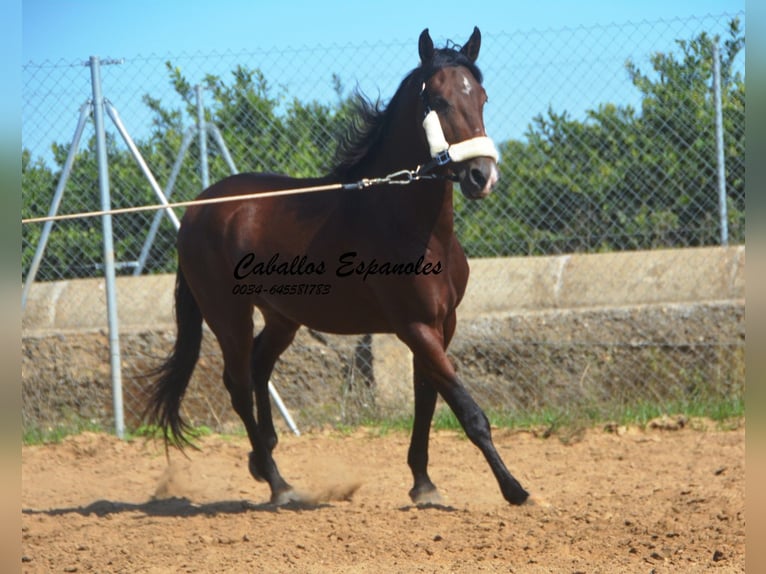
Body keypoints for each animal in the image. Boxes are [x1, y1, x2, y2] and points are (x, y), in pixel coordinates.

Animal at [150, 27, 536, 506]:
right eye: (439, 101)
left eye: (482, 97)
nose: (482, 176)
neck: (413, 228)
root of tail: (197, 210)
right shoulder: (414, 326)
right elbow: (468, 410)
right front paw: (514, 489)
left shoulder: (441, 324)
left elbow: (427, 398)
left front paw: (423, 484)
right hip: (228, 315)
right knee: (238, 383)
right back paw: (279, 485)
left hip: (282, 316)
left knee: (259, 366)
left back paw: (264, 458)